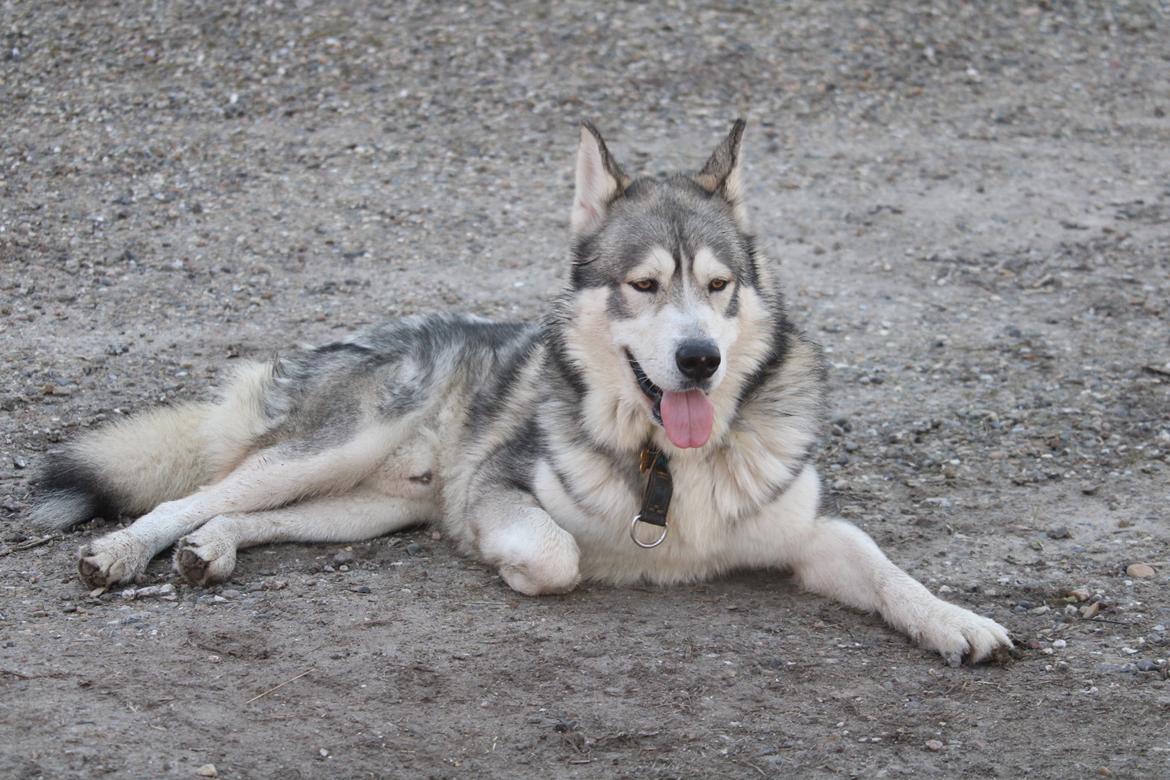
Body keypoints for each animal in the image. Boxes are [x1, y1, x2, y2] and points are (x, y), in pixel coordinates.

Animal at [32, 120, 1010, 664]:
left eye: (719, 286)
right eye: (646, 286)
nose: (699, 359)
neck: (668, 467)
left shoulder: (813, 535)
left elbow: (891, 573)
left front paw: (957, 623)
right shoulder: (503, 490)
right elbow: (555, 555)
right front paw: (509, 564)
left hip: (362, 507)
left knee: (243, 515)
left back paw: (214, 551)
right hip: (330, 450)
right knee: (192, 496)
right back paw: (122, 552)